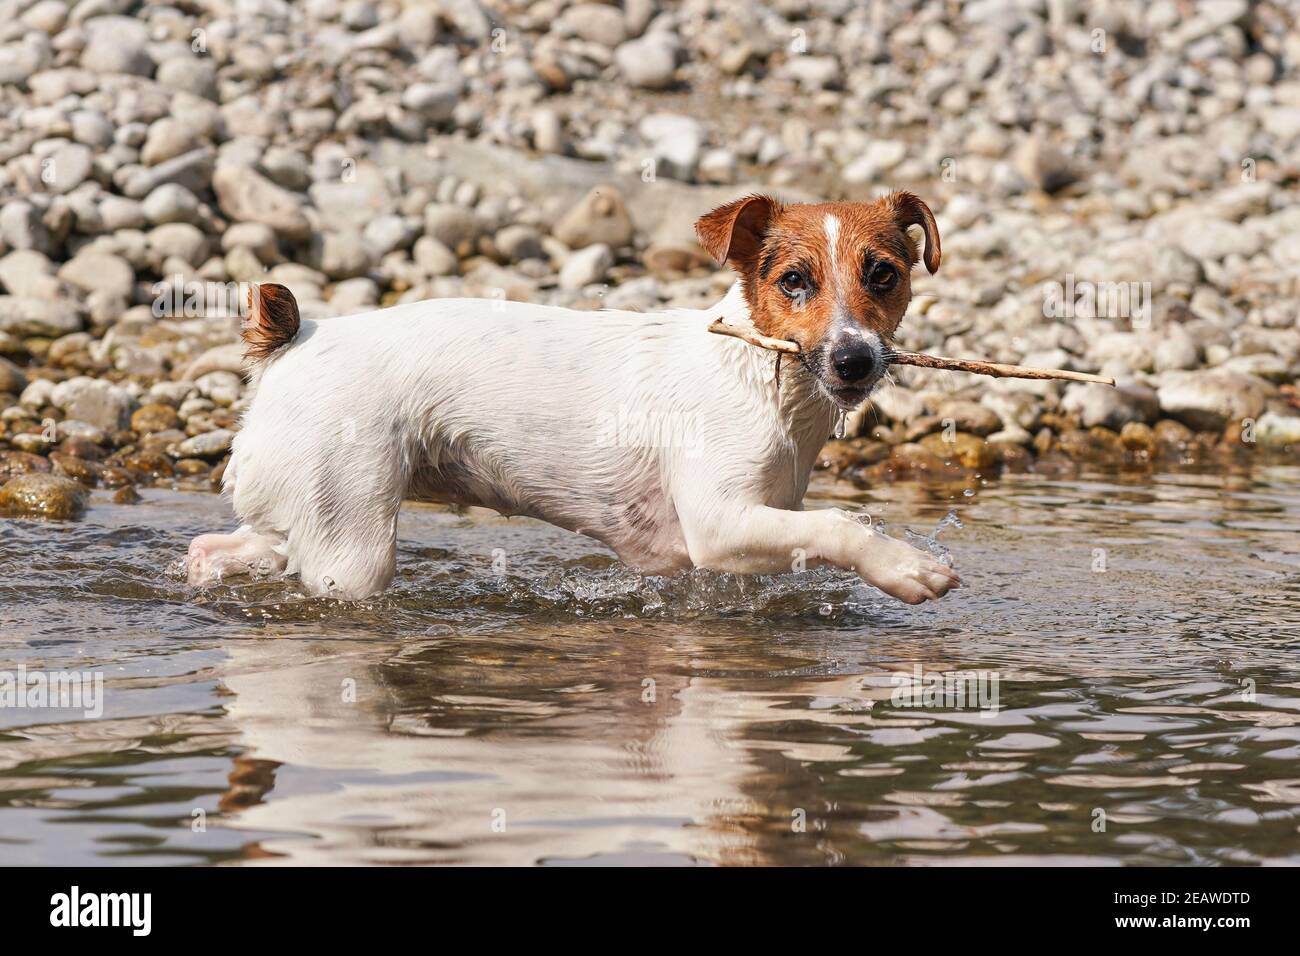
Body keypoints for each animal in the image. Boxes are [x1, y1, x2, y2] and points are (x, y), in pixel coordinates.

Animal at [185, 192, 956, 606]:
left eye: (883, 274)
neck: (758, 372)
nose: (855, 358)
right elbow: (841, 523)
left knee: (220, 546)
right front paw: (905, 566)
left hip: (304, 510)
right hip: (352, 550)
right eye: (794, 280)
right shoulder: (721, 527)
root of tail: (295, 338)